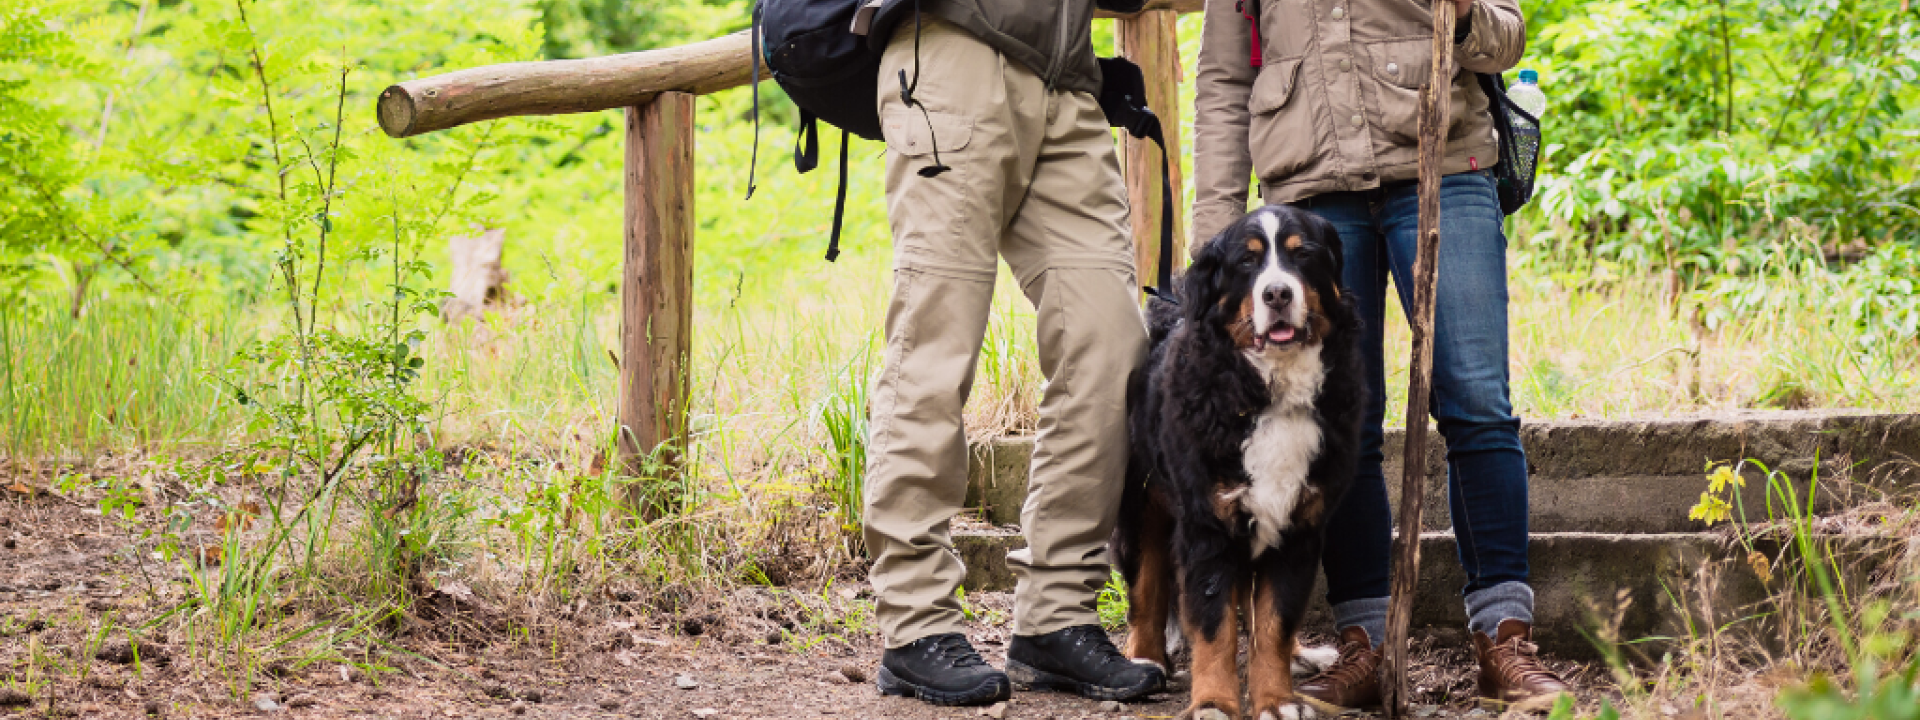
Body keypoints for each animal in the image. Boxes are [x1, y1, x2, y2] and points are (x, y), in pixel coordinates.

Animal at [1113, 204, 1367, 720]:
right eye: (1247, 263)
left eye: (1301, 255)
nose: (1277, 293)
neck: (1270, 395)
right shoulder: (1208, 525)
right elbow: (1214, 628)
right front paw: (1214, 702)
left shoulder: (1298, 527)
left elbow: (1273, 623)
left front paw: (1276, 701)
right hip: (1141, 502)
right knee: (1146, 586)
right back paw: (1145, 658)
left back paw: (1302, 656)